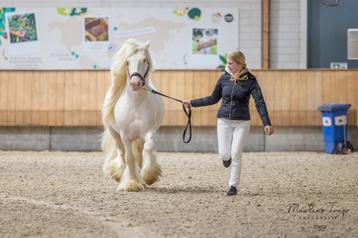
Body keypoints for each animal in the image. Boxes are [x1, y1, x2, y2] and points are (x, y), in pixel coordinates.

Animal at [102, 38, 164, 192]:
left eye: (144, 60)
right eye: (127, 61)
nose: (135, 83)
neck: (135, 103)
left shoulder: (148, 132)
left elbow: (148, 148)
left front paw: (148, 176)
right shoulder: (124, 135)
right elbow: (129, 158)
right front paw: (131, 183)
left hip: (138, 138)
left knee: (140, 153)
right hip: (115, 133)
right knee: (121, 153)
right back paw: (119, 175)